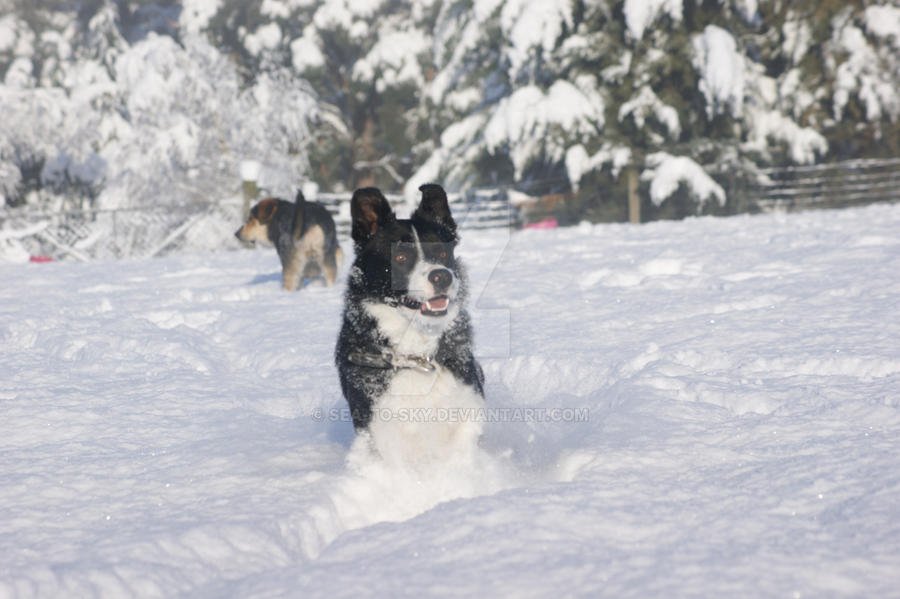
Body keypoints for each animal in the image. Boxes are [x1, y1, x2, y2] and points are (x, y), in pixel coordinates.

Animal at [334, 185, 482, 462]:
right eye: (401, 256)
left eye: (443, 252)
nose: (442, 276)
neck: (416, 353)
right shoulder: (381, 428)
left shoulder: (466, 406)